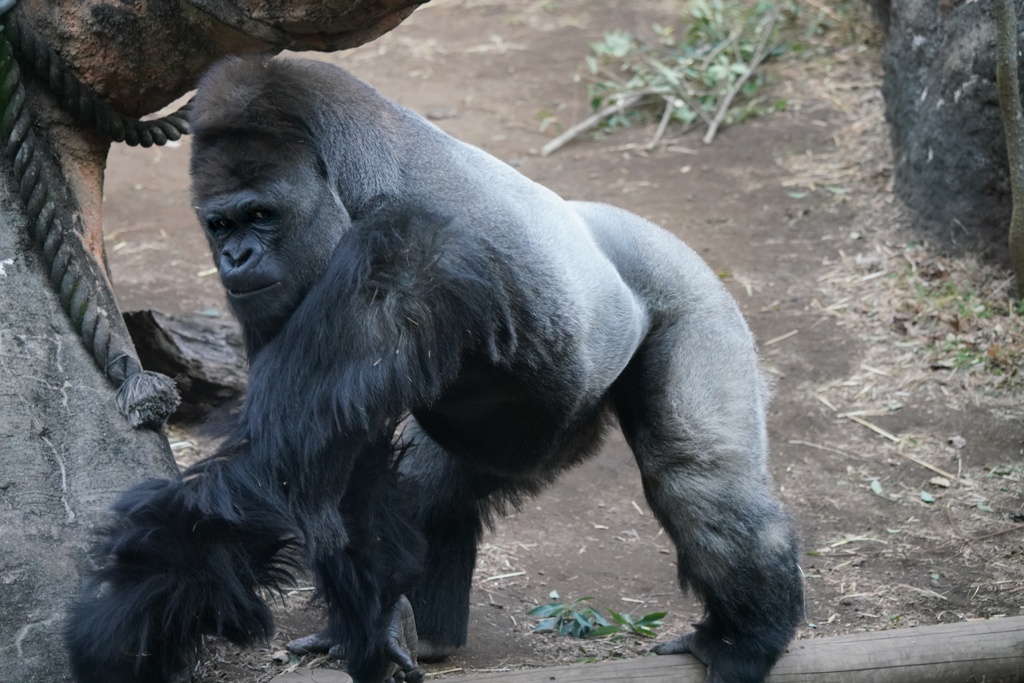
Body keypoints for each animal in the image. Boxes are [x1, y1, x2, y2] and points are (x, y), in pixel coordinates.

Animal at [64, 56, 802, 683]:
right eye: (220, 225)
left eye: (261, 215)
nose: (236, 258)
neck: (356, 171)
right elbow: (336, 465)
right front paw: (370, 627)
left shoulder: (404, 247)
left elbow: (275, 467)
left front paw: (121, 626)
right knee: (430, 485)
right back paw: (432, 631)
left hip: (687, 284)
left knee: (697, 472)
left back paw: (746, 637)